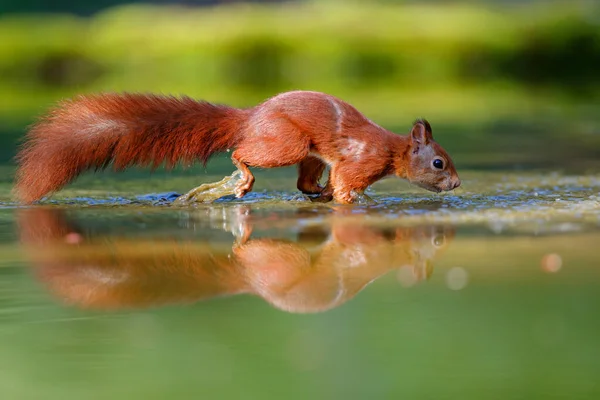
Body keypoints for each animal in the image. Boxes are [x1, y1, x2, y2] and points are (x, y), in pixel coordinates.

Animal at [16, 90, 462, 203]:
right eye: (439, 163)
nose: (457, 185)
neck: (392, 149)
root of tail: (251, 117)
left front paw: (335, 196)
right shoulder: (360, 161)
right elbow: (348, 185)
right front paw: (357, 200)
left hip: (307, 155)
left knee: (303, 184)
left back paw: (315, 193)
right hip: (288, 144)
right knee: (241, 153)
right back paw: (242, 179)